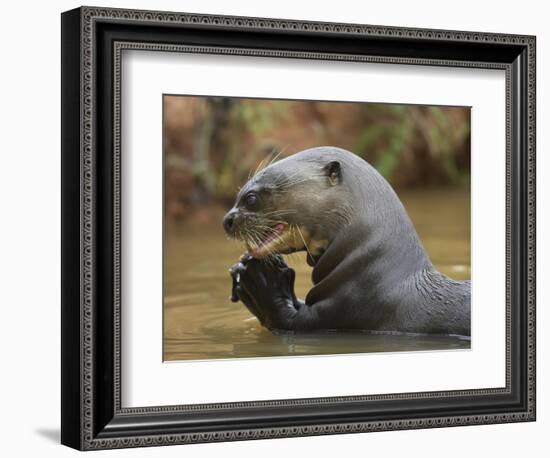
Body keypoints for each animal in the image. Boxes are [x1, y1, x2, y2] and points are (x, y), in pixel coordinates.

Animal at [222, 147, 472, 336]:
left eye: (251, 198)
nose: (227, 220)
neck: (373, 271)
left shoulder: (347, 310)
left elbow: (283, 319)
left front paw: (260, 278)